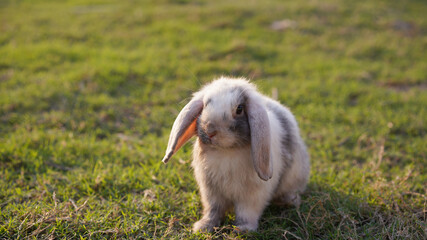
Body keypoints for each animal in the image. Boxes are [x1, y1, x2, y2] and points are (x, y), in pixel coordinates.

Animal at [162, 77, 310, 232]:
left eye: (239, 109)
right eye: (205, 104)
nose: (210, 130)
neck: (226, 151)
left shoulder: (251, 196)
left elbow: (247, 212)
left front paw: (243, 229)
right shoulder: (211, 192)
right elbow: (213, 210)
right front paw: (203, 227)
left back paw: (289, 201)